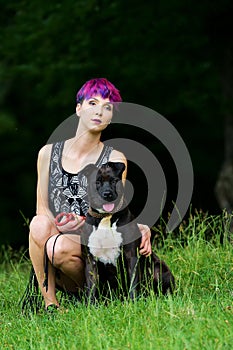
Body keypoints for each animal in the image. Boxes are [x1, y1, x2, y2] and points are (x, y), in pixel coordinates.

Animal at [81, 161, 174, 300]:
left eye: (114, 181)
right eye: (97, 182)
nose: (107, 194)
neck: (106, 218)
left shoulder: (131, 256)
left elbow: (133, 283)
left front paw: (133, 302)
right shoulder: (90, 260)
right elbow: (91, 288)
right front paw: (90, 304)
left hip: (158, 268)